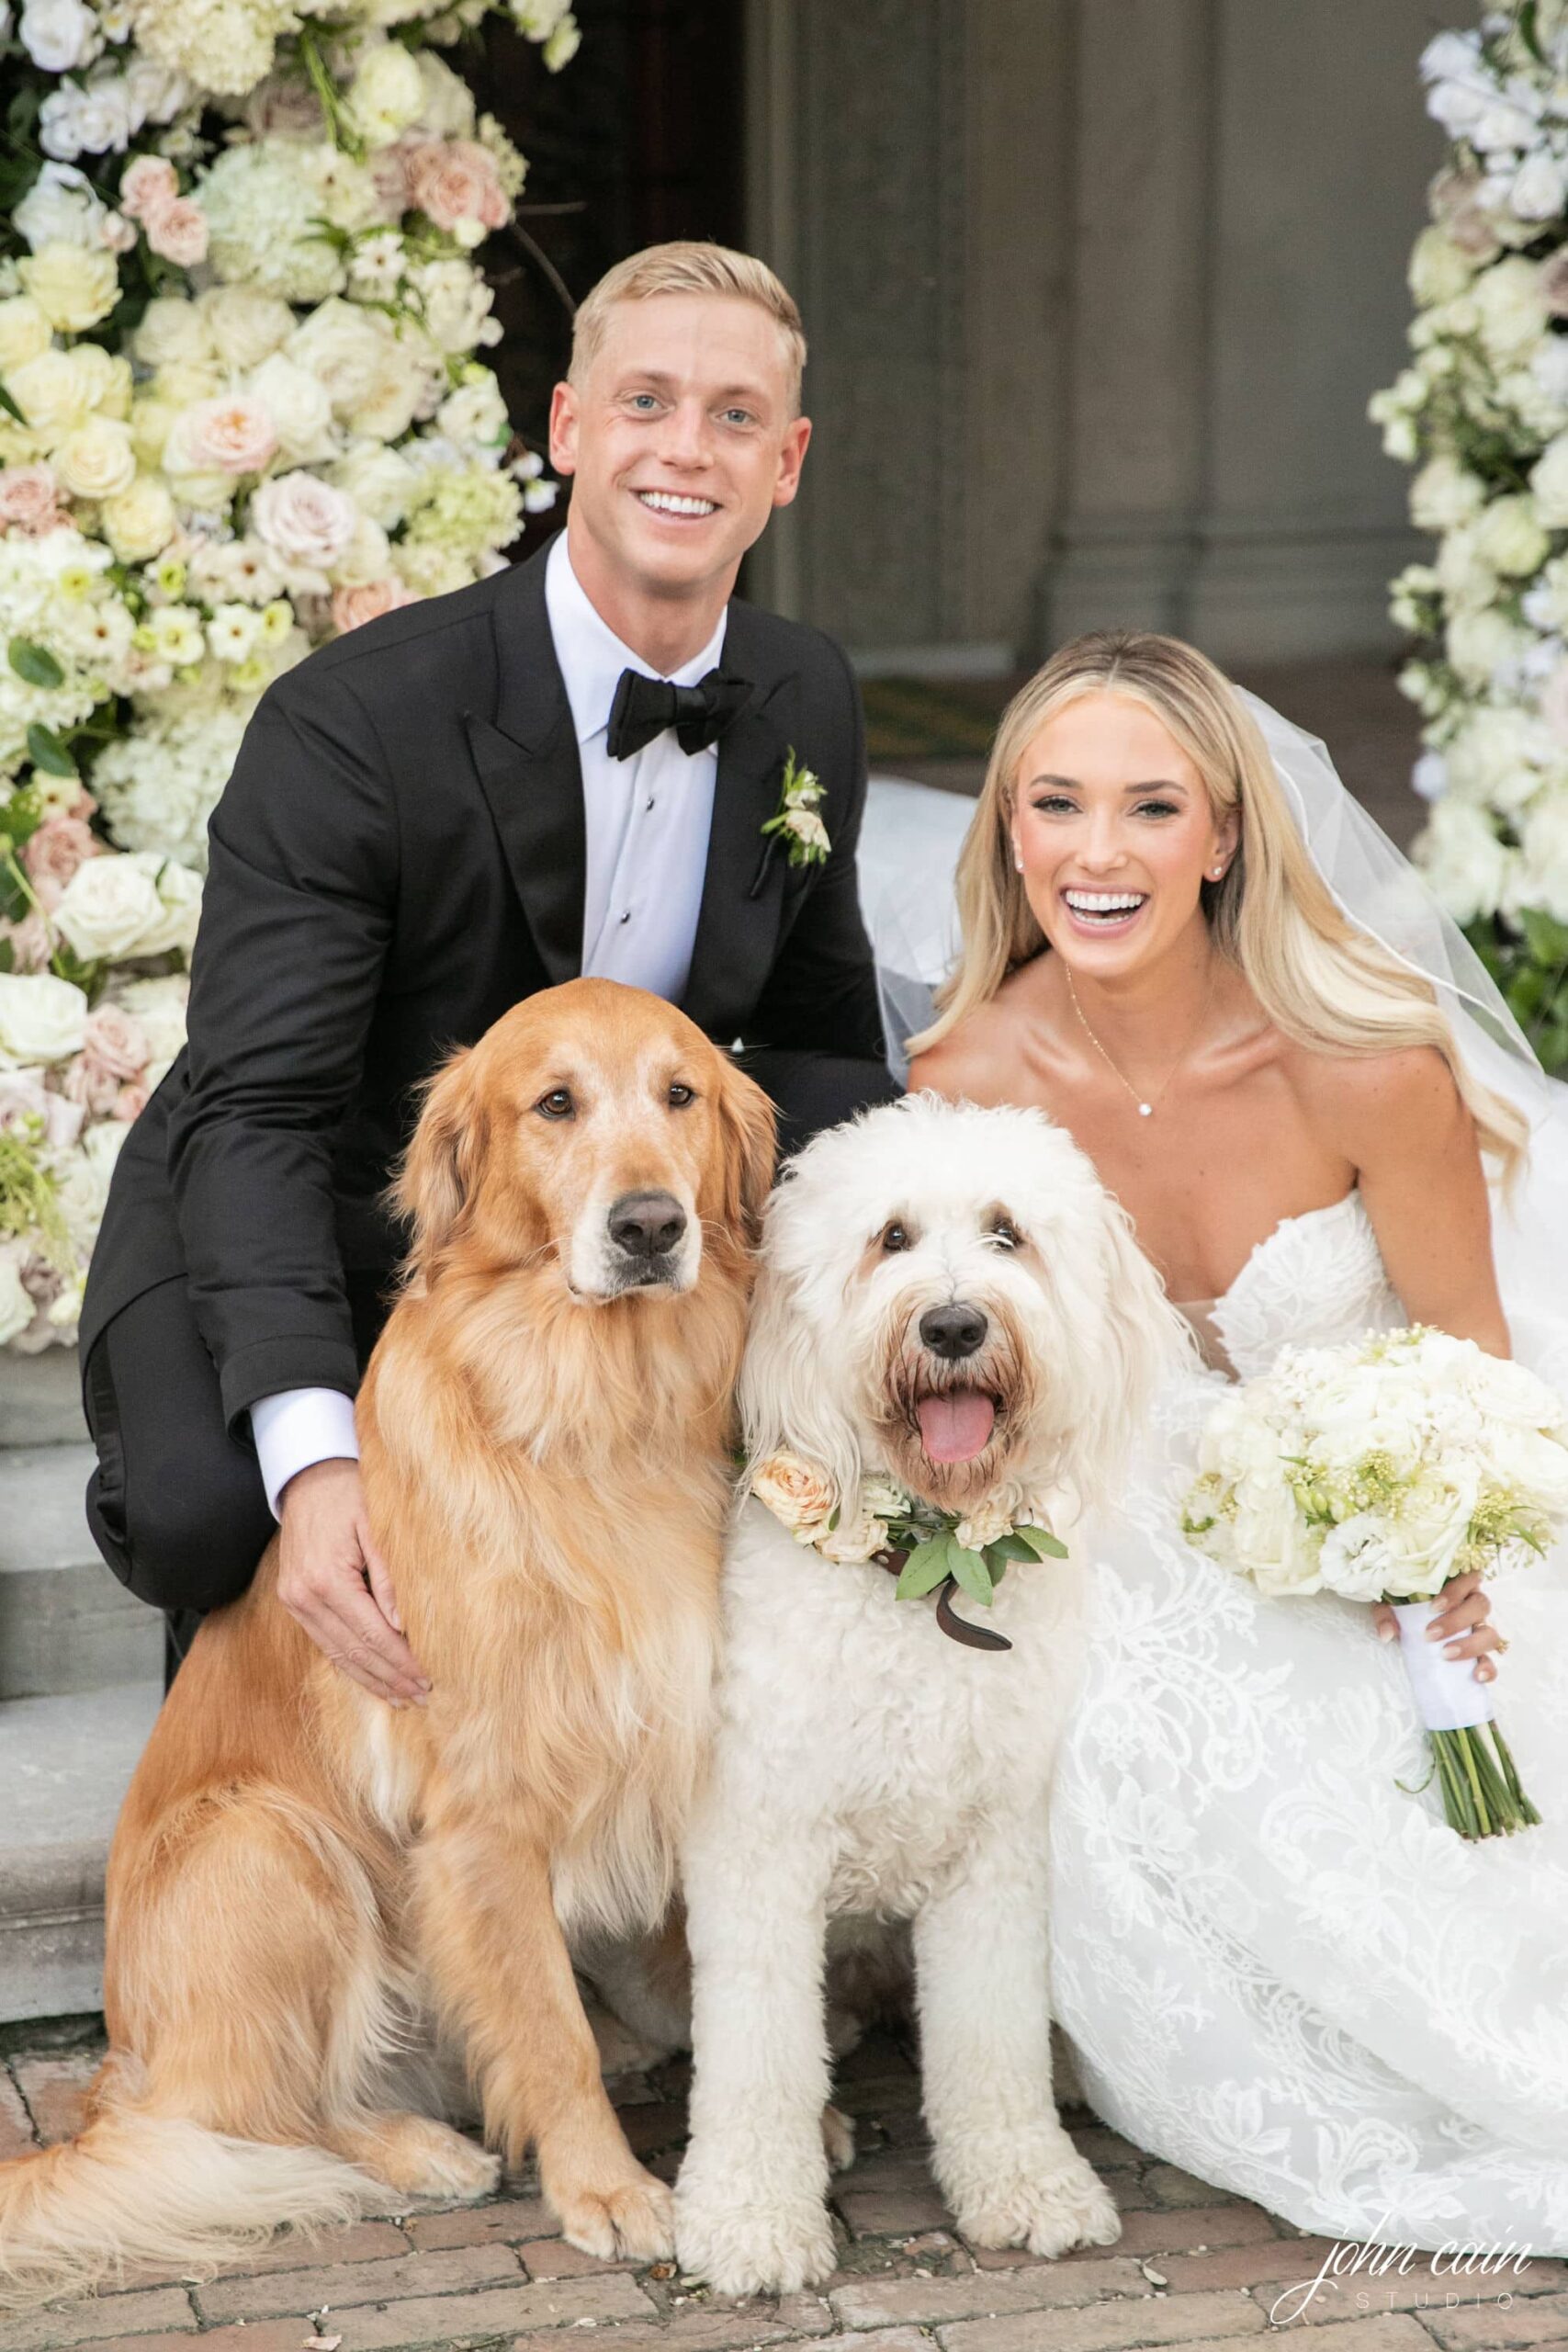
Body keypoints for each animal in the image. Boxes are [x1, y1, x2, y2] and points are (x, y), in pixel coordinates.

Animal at [677, 1101, 1189, 2295]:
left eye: (1008, 1233)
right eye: (893, 1238)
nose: (954, 1324)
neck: (929, 1573)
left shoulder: (998, 1852)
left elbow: (990, 2036)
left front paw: (1026, 2184)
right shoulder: (759, 1848)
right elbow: (755, 2052)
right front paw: (751, 2218)